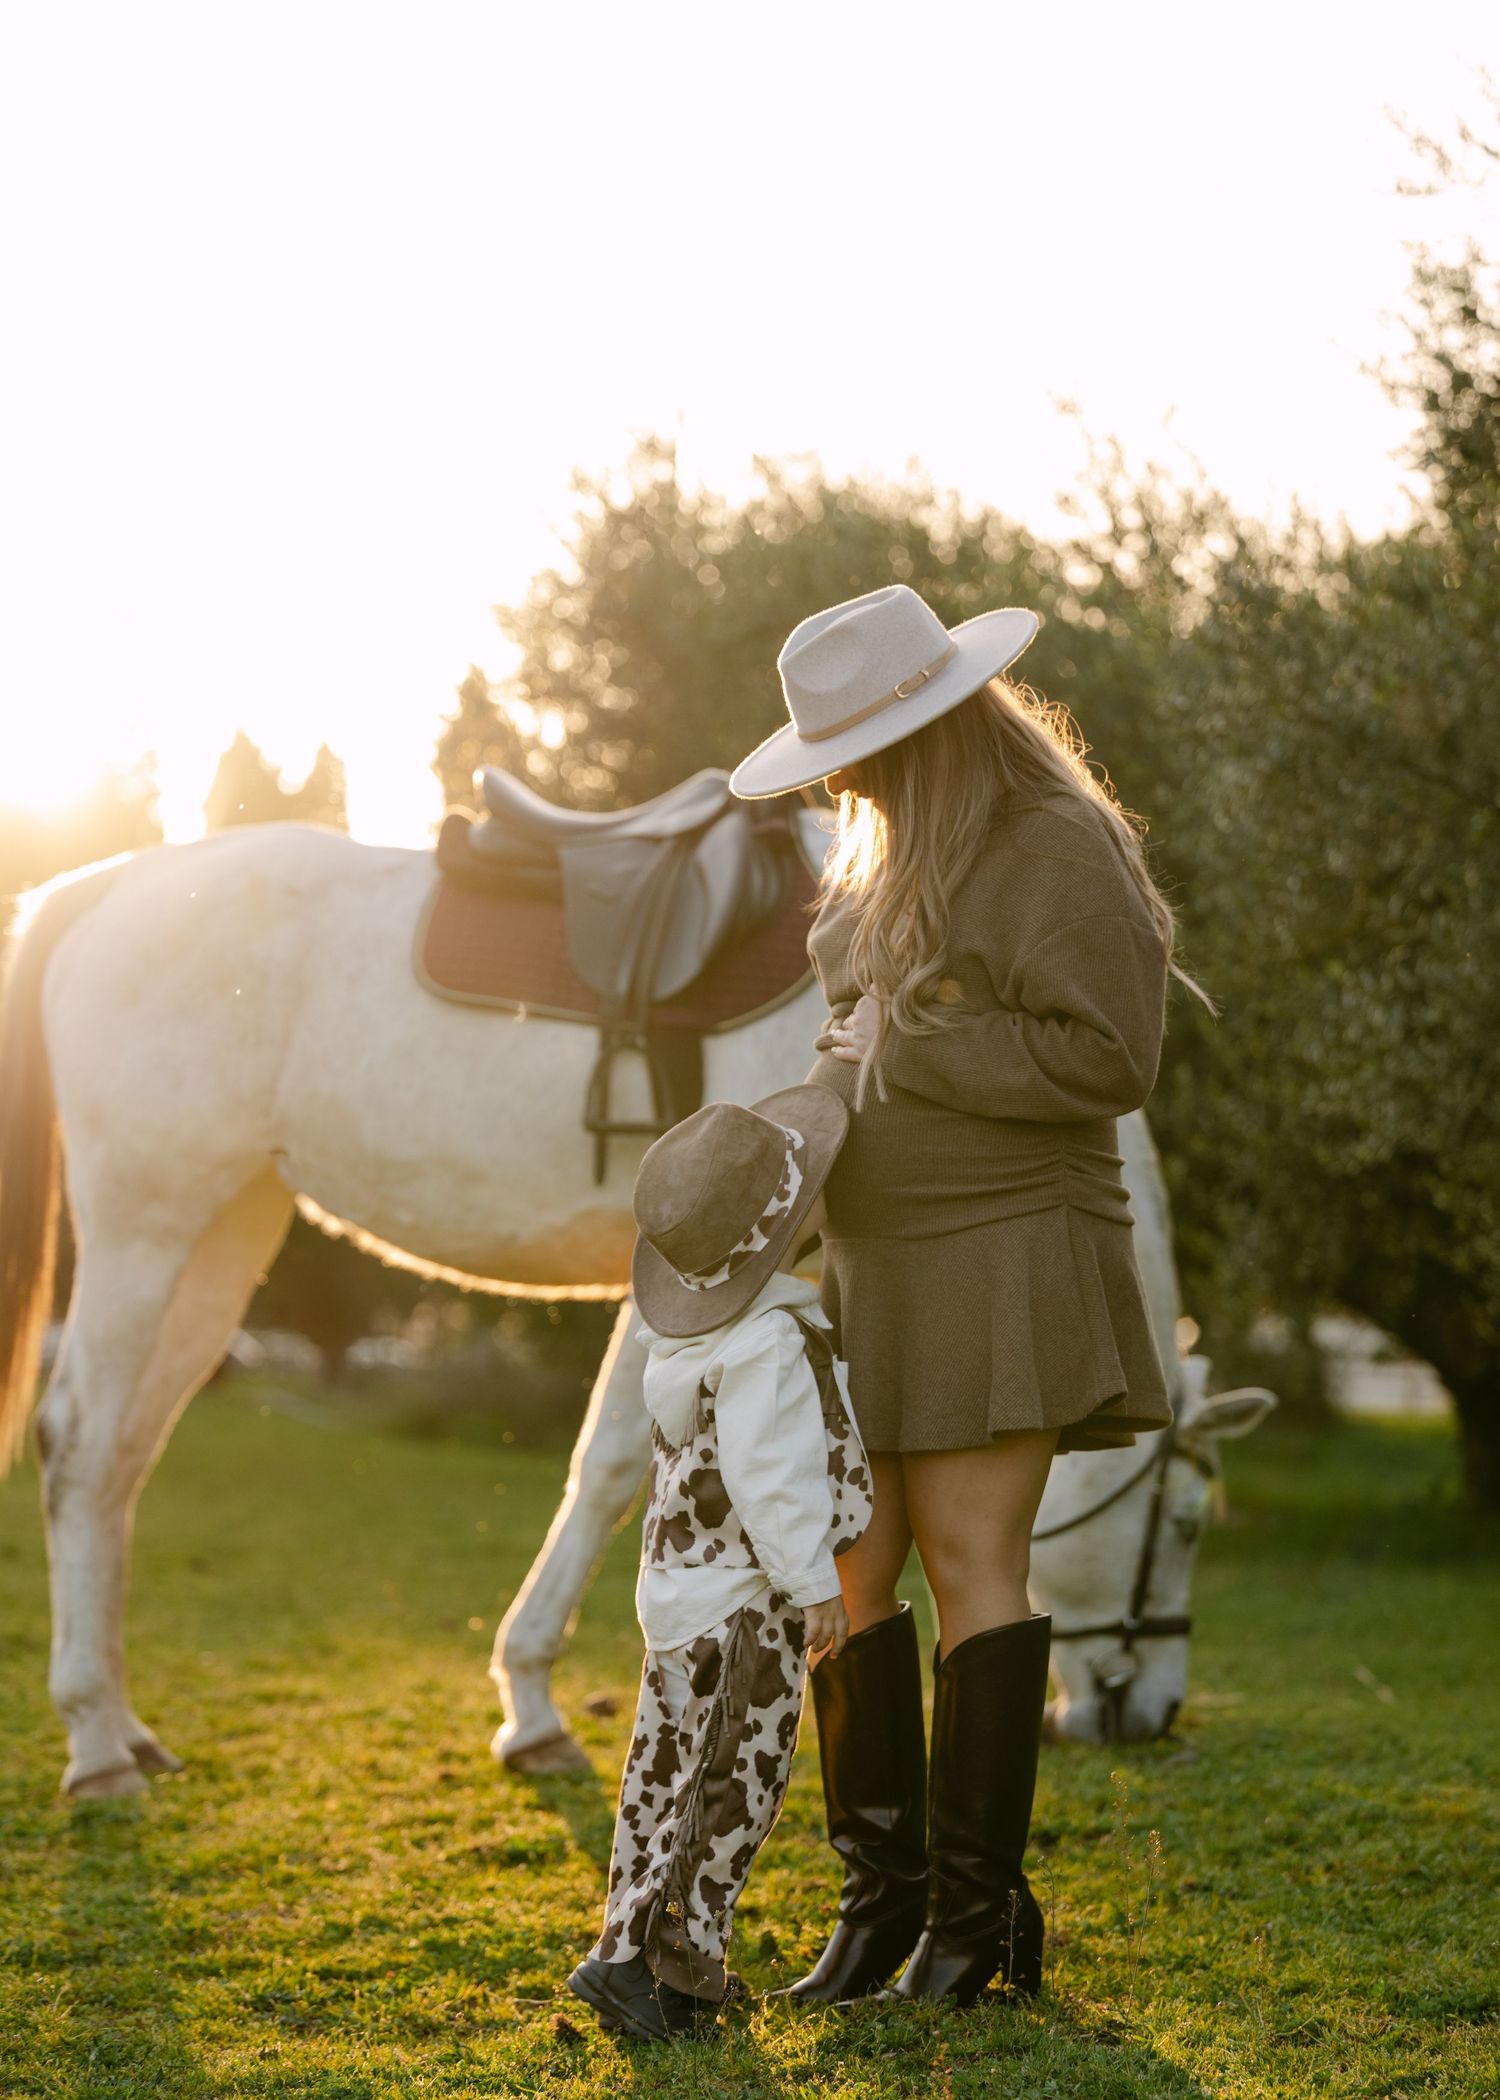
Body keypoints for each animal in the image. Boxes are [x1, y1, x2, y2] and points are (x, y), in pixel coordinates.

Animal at [0, 816, 1271, 1798]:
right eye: (1185, 1524)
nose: (1147, 1712)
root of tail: (99, 883)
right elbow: (616, 1468)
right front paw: (532, 1701)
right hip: (148, 1225)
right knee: (81, 1444)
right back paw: (96, 1743)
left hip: (224, 1234)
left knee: (125, 1459)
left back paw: (124, 1725)